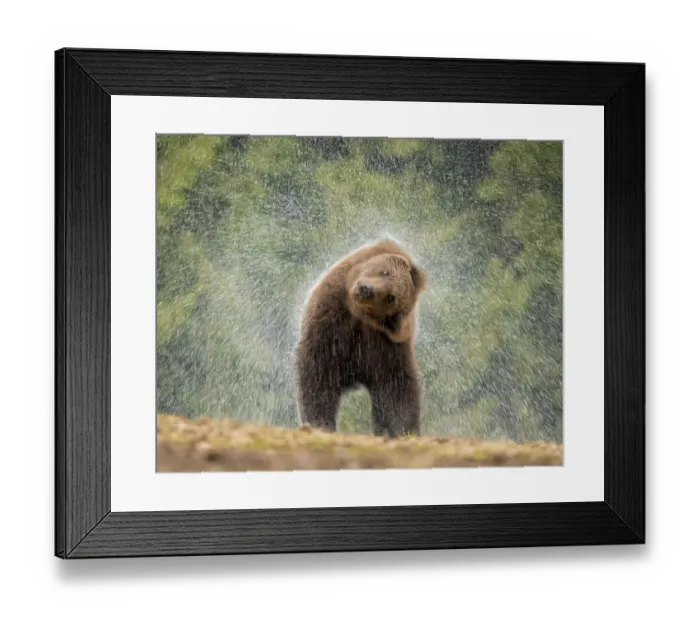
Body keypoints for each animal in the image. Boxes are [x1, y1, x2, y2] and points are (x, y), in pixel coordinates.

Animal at [294, 239, 428, 438]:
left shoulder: (384, 346)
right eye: (384, 272)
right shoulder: (331, 324)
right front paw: (320, 423)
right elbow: (319, 374)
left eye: (390, 297)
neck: (356, 315)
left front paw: (404, 430)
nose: (367, 289)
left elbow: (396, 388)